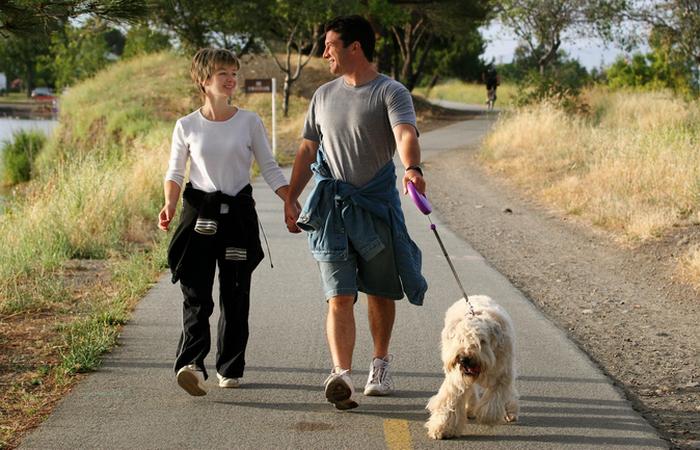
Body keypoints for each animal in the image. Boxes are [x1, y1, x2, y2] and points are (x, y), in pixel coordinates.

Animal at [426, 295, 519, 440]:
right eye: (460, 339)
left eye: (482, 341)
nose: (464, 359)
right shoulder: (457, 379)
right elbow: (451, 401)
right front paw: (443, 428)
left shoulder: (503, 375)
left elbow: (494, 400)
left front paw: (487, 417)